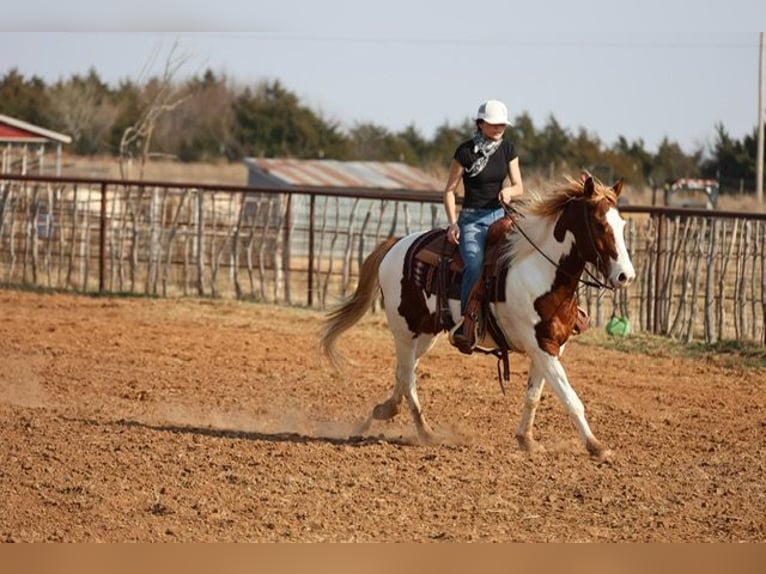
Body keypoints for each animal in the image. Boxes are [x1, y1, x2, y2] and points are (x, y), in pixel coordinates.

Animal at [319, 176, 635, 458]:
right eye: (599, 224)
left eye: (622, 225)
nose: (626, 276)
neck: (541, 271)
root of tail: (396, 244)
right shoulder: (542, 347)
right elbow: (571, 398)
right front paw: (597, 447)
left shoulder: (550, 347)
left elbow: (533, 396)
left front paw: (527, 440)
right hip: (404, 331)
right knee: (408, 379)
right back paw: (425, 432)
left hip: (425, 334)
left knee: (402, 374)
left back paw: (384, 411)